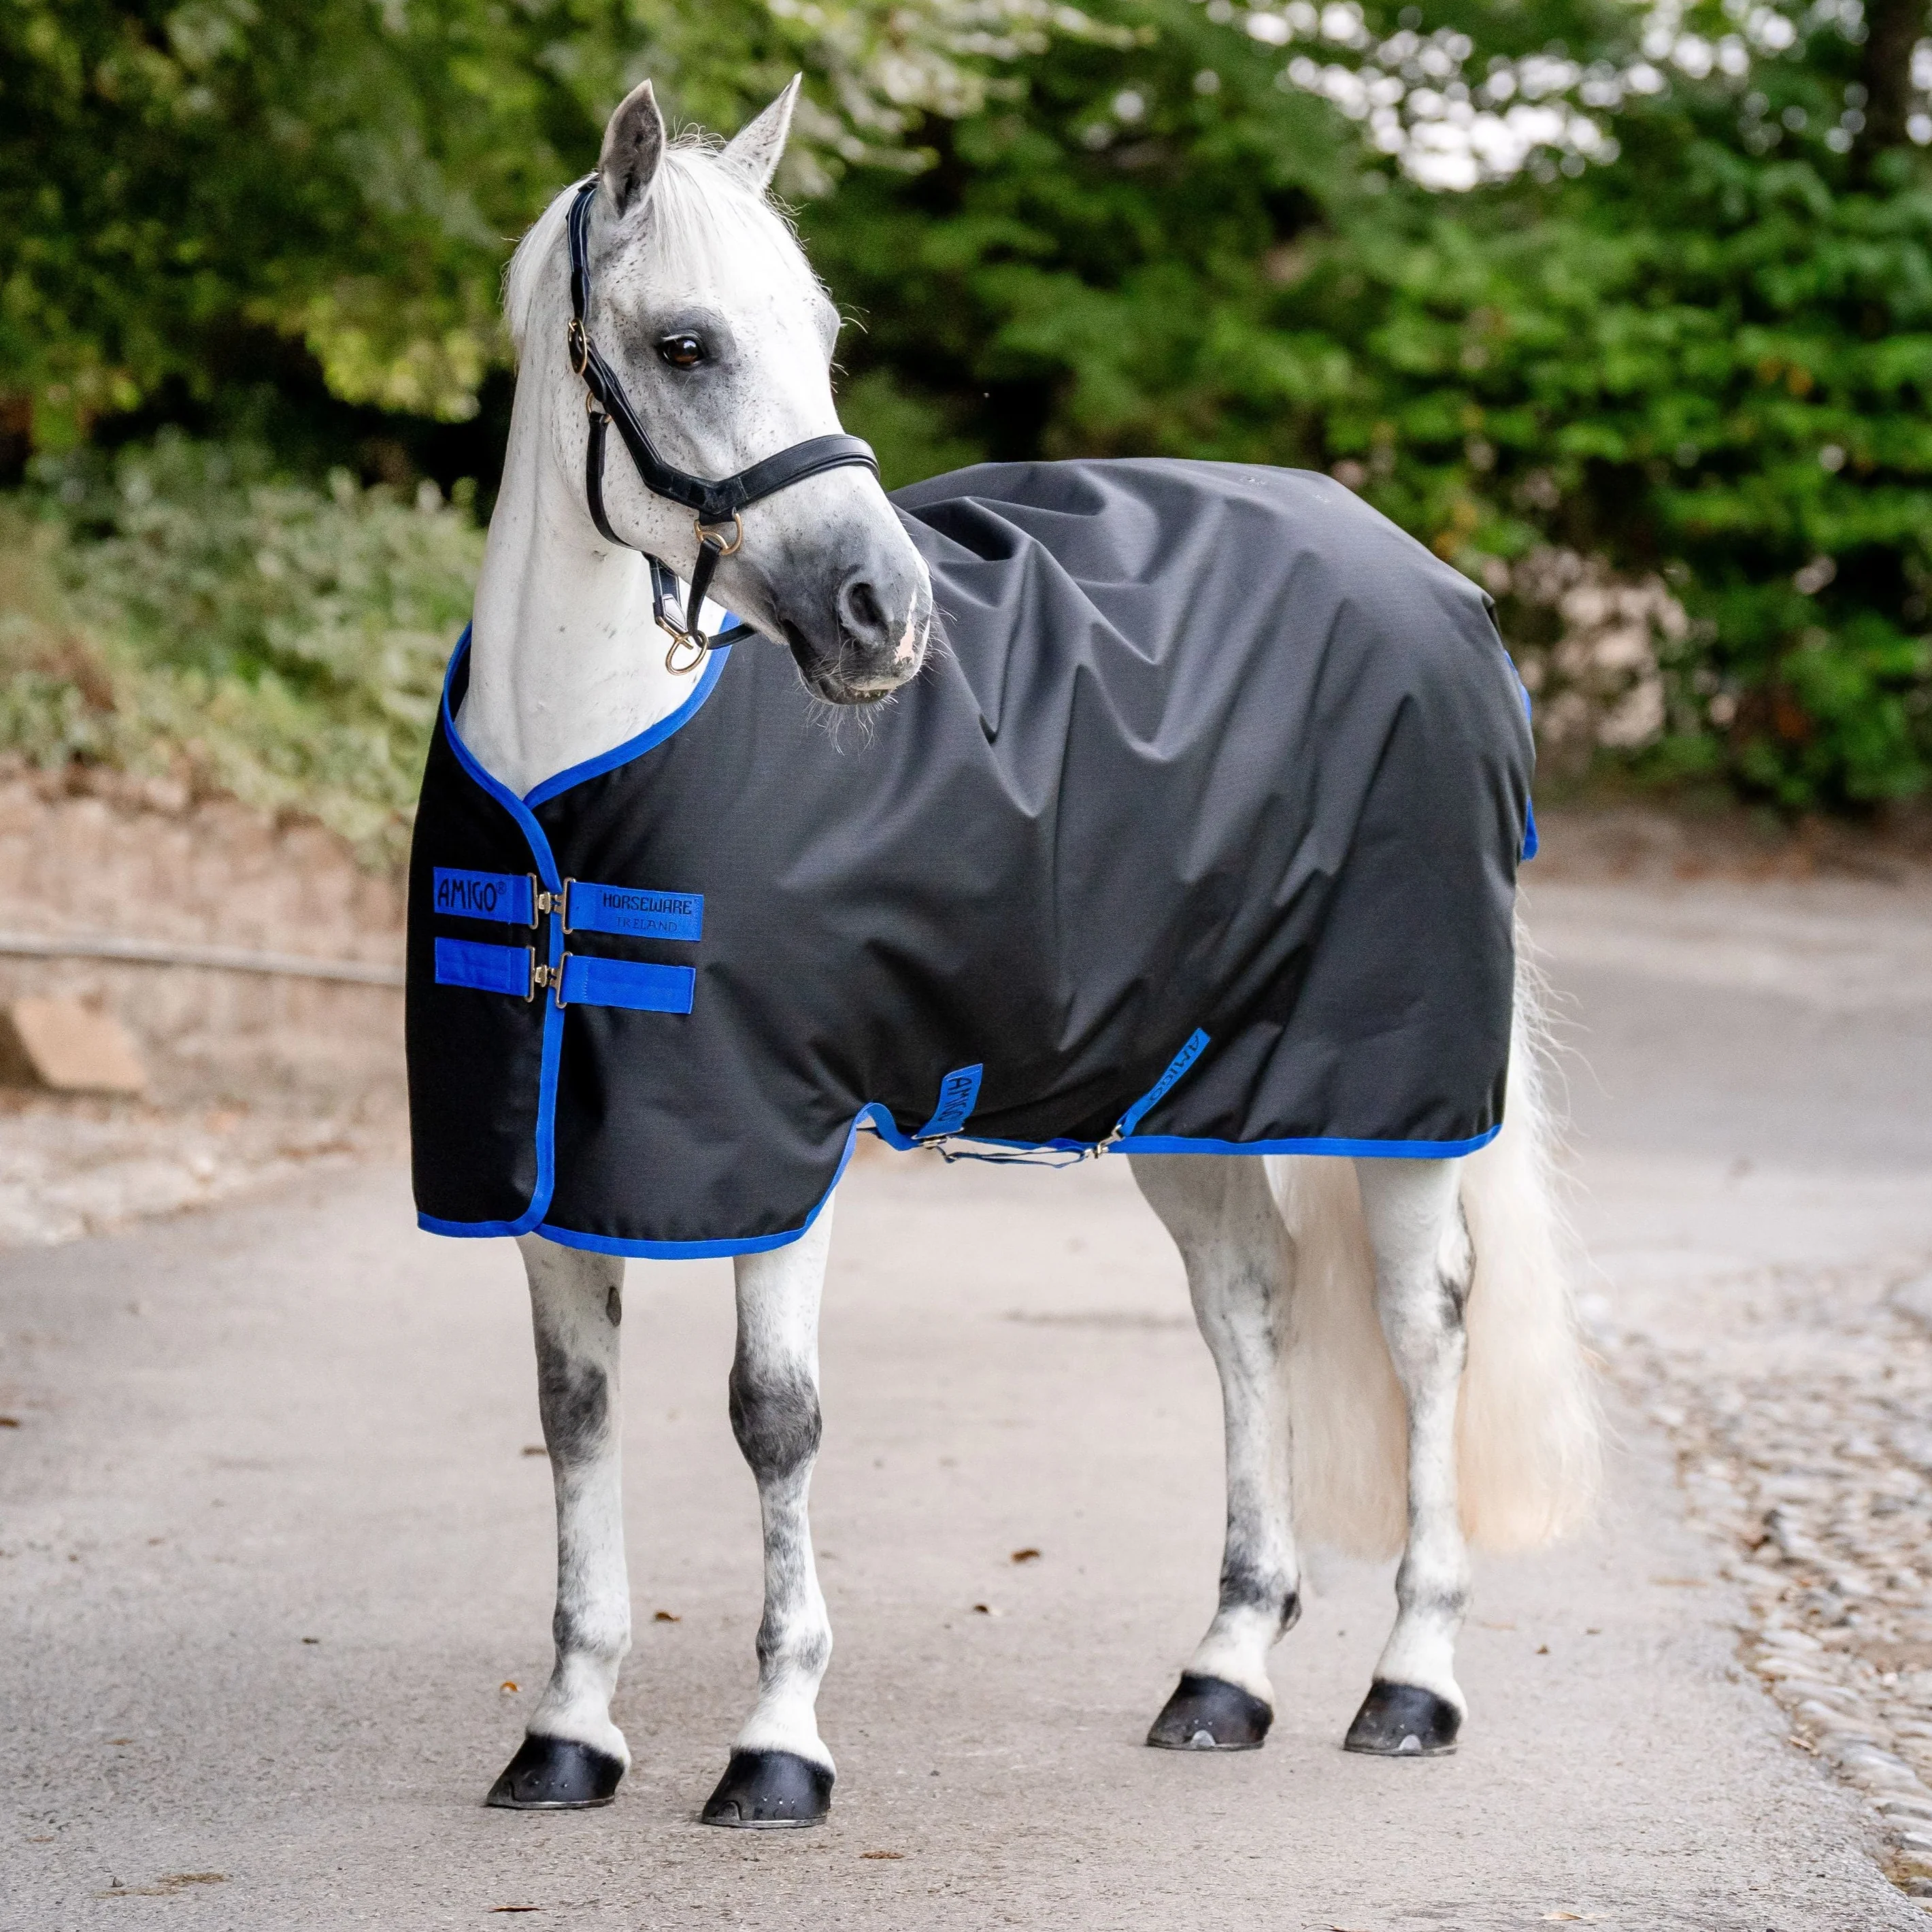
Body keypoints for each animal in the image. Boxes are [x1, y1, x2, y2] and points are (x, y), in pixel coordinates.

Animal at [416, 74, 1600, 1827]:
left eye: (823, 334)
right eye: (688, 343)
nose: (882, 614)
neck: (579, 784)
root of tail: (1439, 589)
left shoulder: (783, 1144)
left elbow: (773, 1418)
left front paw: (777, 1743)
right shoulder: (553, 1160)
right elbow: (576, 1418)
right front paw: (566, 1729)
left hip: (1396, 1093)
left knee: (1421, 1323)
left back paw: (1410, 1679)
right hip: (1189, 1093)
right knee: (1246, 1309)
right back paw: (1223, 1671)